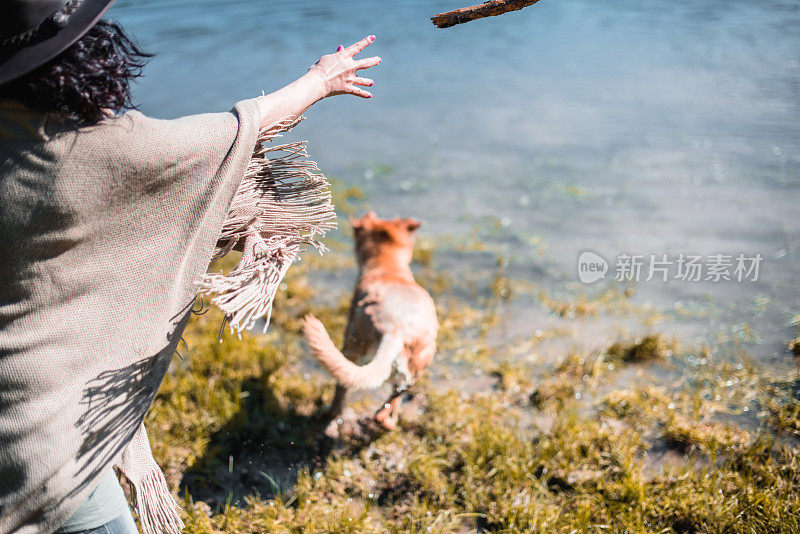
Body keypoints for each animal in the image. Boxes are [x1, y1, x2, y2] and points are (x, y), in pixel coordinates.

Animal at [304, 214, 438, 432]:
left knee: (342, 385)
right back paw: (387, 420)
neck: (388, 267)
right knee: (395, 398)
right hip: (419, 362)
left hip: (353, 344)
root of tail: (396, 328)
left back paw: (331, 413)